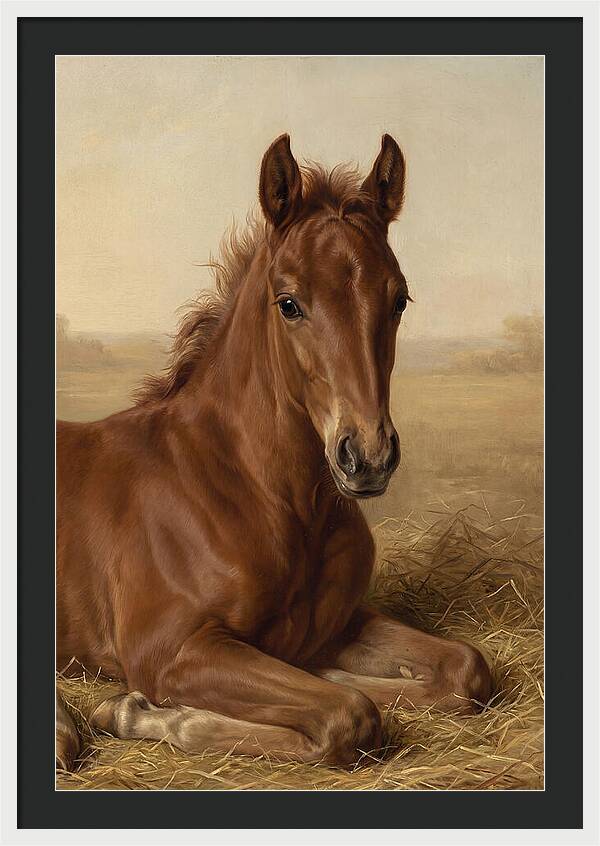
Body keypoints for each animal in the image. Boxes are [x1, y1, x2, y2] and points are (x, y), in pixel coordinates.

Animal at [56, 133, 492, 771]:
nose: (368, 456)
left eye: (400, 300)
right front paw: (136, 712)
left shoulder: (338, 624)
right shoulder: (170, 650)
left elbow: (464, 669)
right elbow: (349, 714)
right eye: (288, 303)